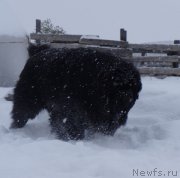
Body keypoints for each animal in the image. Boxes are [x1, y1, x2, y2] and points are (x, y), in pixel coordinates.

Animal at [10, 44, 142, 140]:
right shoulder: (76, 110)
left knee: (55, 121)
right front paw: (77, 138)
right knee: (21, 113)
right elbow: (76, 125)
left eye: (132, 85)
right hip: (30, 98)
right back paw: (17, 128)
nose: (127, 95)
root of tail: (36, 54)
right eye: (117, 85)